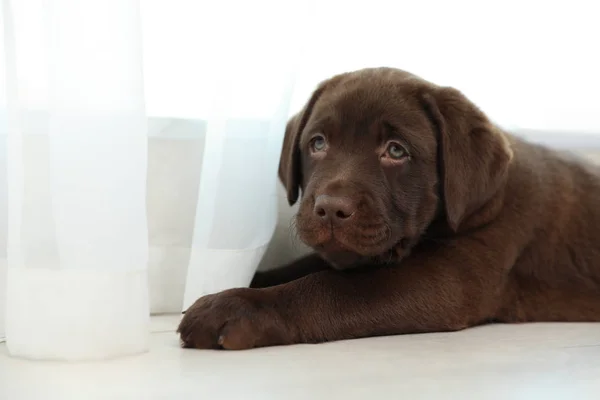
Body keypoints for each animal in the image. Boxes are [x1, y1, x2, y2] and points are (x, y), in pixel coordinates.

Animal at [179, 67, 600, 348]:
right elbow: (302, 267)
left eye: (396, 151)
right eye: (317, 143)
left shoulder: (451, 278)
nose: (330, 209)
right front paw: (249, 279)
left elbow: (330, 286)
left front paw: (235, 307)